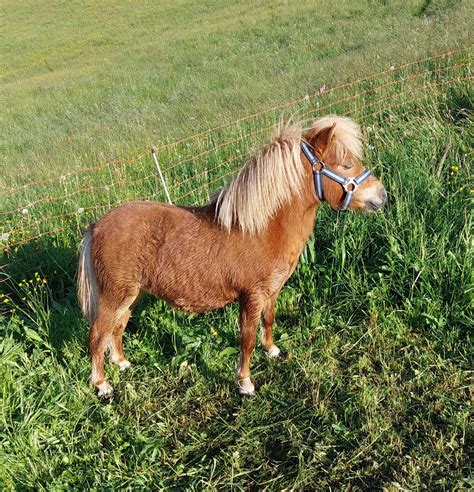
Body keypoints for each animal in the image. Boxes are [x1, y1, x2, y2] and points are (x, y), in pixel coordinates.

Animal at [77, 116, 386, 400]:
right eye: (346, 164)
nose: (381, 196)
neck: (259, 227)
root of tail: (96, 226)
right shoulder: (251, 296)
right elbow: (246, 339)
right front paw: (245, 382)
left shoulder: (271, 292)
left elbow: (269, 320)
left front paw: (272, 350)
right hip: (114, 296)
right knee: (97, 334)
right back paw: (102, 385)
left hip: (132, 295)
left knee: (118, 327)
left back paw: (121, 362)